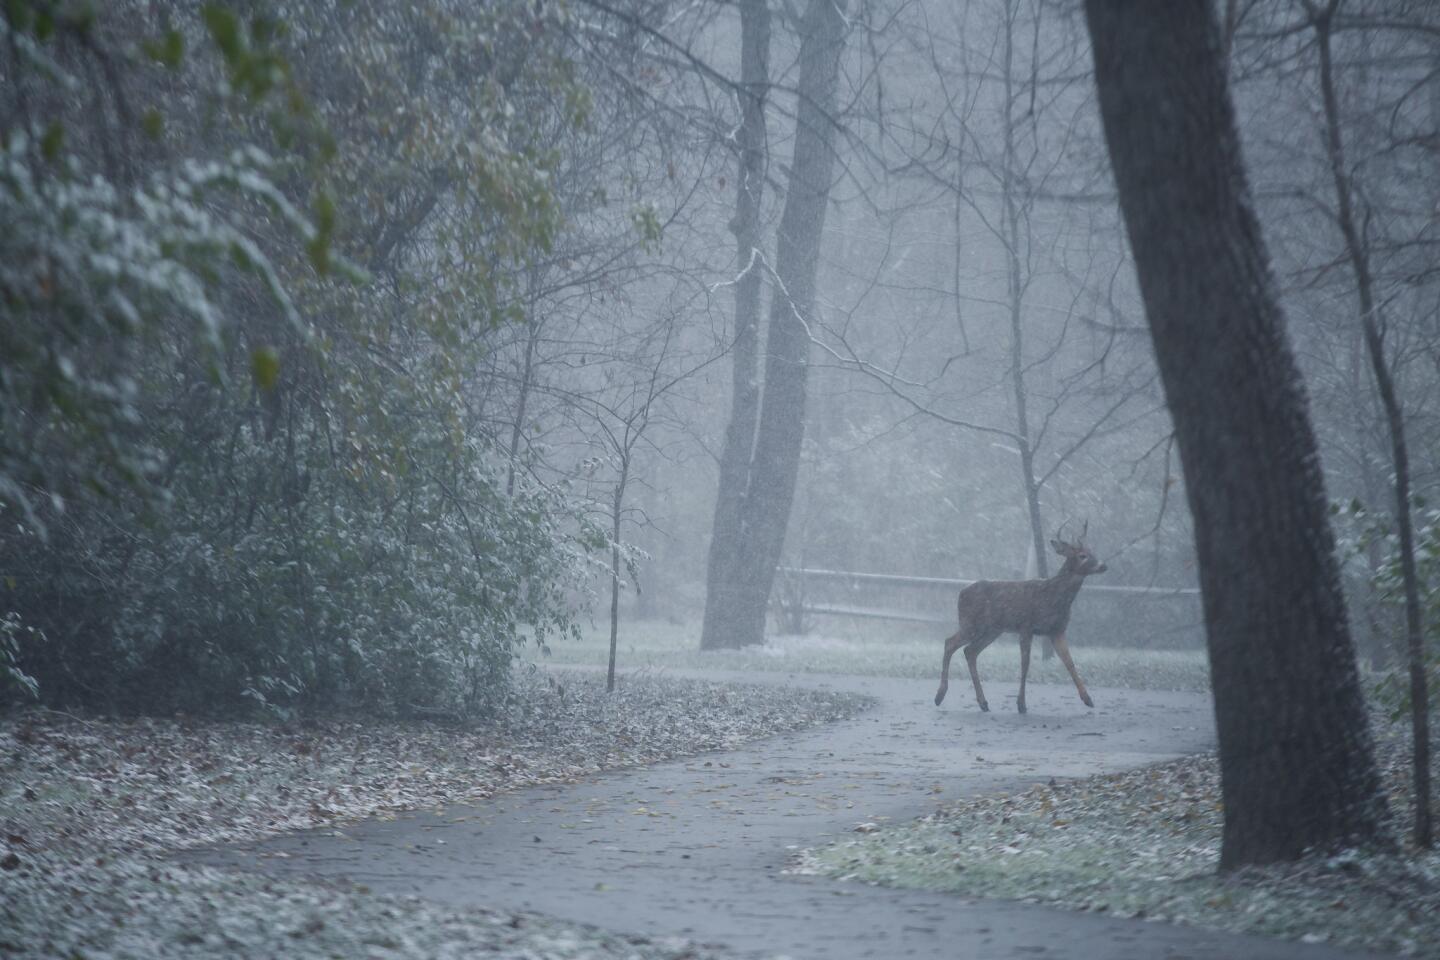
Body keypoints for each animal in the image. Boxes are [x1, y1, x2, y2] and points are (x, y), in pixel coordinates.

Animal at [938, 529, 1105, 716]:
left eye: (1093, 552)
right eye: (1082, 556)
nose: (1103, 565)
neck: (1053, 596)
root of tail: (961, 592)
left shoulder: (1057, 630)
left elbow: (1069, 661)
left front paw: (1088, 699)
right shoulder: (1026, 625)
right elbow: (1025, 663)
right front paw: (1021, 704)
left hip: (992, 630)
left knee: (970, 651)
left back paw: (983, 703)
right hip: (970, 623)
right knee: (950, 642)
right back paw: (940, 696)